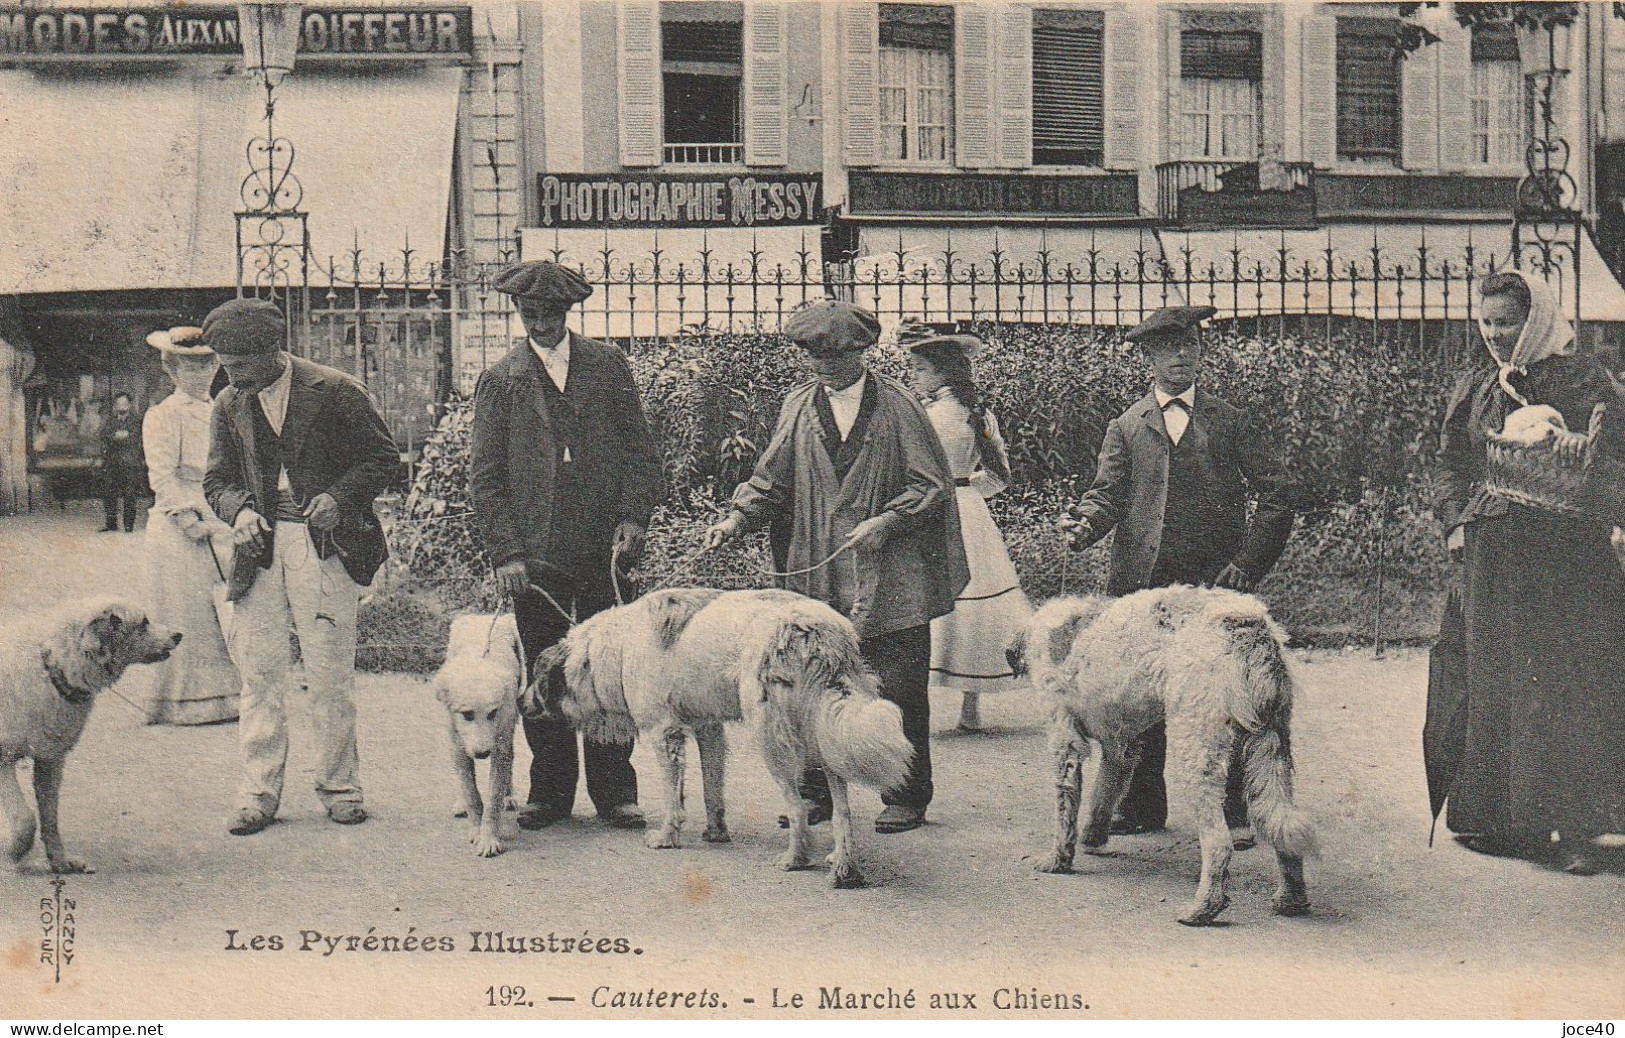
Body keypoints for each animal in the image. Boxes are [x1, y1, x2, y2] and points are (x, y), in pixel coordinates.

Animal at [0, 597, 181, 870]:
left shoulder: (50, 759)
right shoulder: (3, 760)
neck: (52, 666)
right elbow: (24, 819)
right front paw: (15, 853)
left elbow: (49, 818)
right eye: (143, 623)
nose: (178, 635)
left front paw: (60, 863)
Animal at [432, 614, 526, 857]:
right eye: (467, 714)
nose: (483, 753)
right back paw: (460, 803)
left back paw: (508, 796)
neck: (478, 661)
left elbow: (493, 796)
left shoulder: (500, 743)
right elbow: (471, 792)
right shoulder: (459, 746)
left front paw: (488, 837)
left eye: (492, 713)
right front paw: (476, 827)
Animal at [1014, 588, 1319, 929]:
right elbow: (1102, 797)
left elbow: (1066, 810)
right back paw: (1291, 899)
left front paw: (1059, 858)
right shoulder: (1121, 749)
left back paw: (1202, 909)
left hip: (1196, 754)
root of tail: (1248, 626)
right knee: (1284, 828)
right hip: (1270, 752)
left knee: (1219, 844)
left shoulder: (1065, 743)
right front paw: (1092, 838)